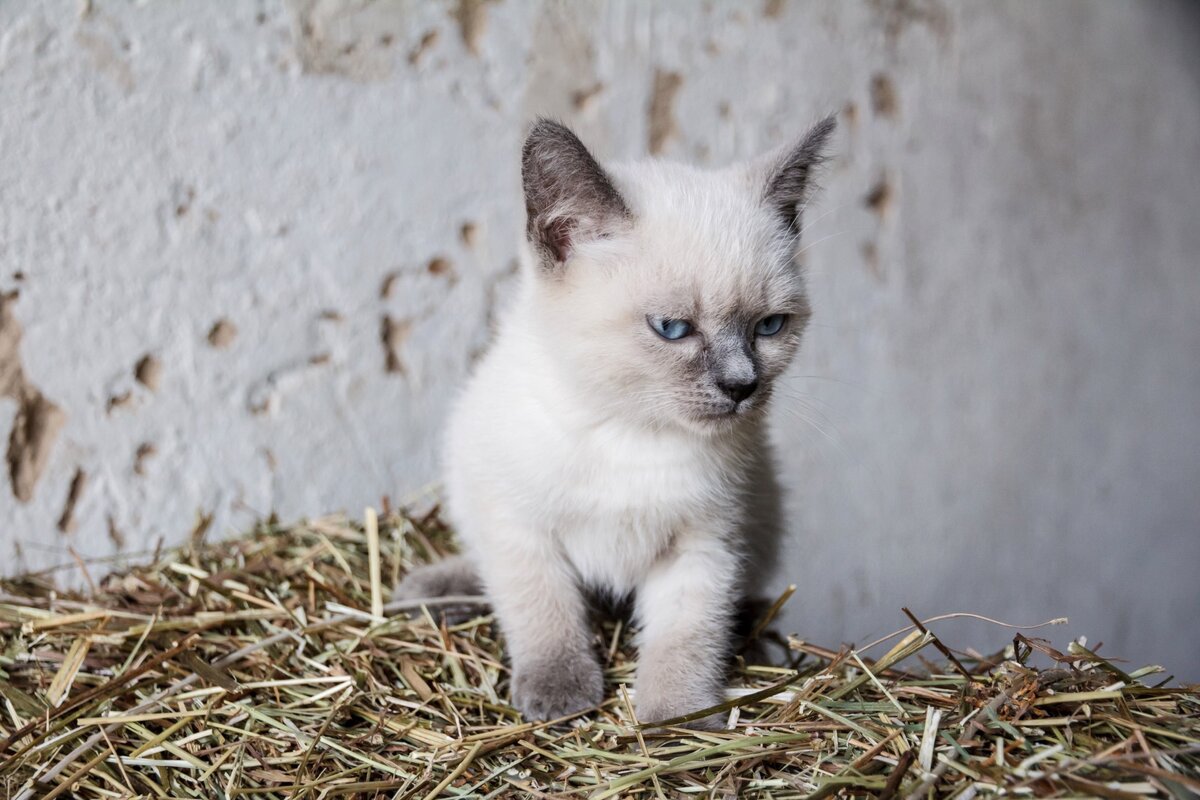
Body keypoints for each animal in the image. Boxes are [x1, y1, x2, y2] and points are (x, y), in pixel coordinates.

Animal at [393, 115, 835, 729]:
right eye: (672, 329)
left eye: (769, 326)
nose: (742, 386)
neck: (633, 431)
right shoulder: (521, 529)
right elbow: (542, 611)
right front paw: (560, 695)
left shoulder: (704, 544)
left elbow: (686, 639)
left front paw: (679, 718)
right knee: (483, 566)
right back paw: (430, 590)